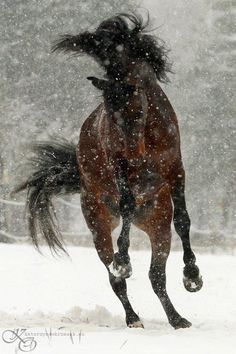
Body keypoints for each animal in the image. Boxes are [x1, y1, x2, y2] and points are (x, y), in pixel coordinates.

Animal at [14, 13, 203, 330]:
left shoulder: (176, 170)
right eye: (109, 117)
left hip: (157, 227)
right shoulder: (120, 169)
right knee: (116, 278)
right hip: (98, 226)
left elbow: (184, 221)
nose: (136, 157)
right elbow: (126, 206)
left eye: (136, 110)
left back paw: (177, 319)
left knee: (156, 277)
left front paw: (193, 277)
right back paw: (133, 316)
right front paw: (123, 260)